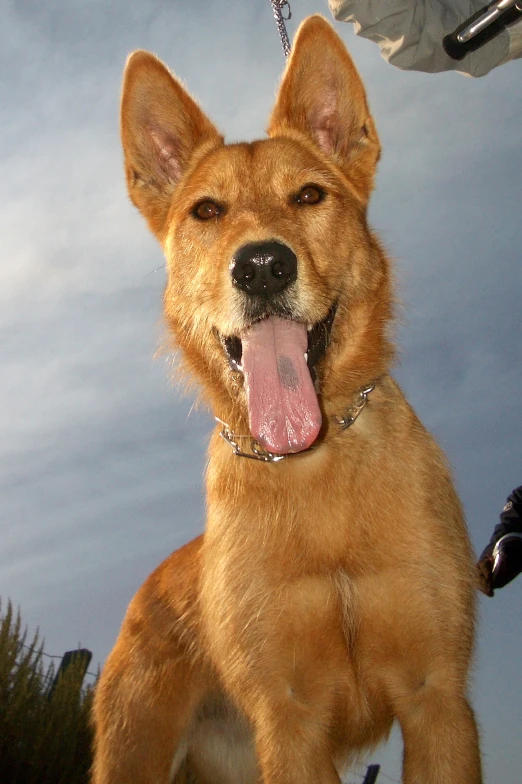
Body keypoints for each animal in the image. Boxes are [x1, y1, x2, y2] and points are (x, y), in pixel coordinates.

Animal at [91, 13, 482, 784]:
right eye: (206, 211)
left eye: (308, 196)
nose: (264, 265)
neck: (313, 475)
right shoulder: (290, 720)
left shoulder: (437, 700)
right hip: (136, 755)